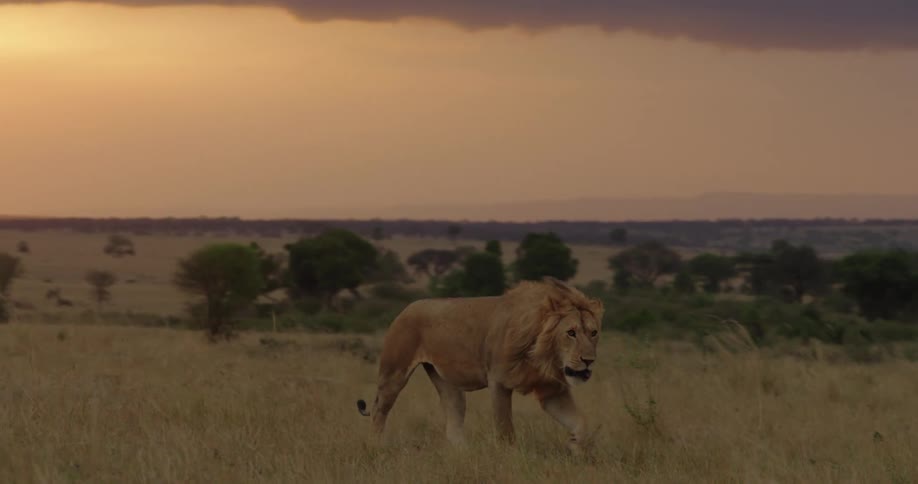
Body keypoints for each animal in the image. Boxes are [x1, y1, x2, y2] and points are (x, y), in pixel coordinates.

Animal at [356, 276, 603, 453]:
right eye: (570, 333)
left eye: (593, 333)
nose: (589, 361)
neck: (543, 356)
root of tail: (407, 307)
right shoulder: (499, 382)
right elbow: (505, 428)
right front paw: (508, 457)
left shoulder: (551, 390)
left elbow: (583, 422)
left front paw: (574, 444)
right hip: (394, 373)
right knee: (379, 409)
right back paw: (375, 447)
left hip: (448, 382)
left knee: (453, 419)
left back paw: (463, 453)